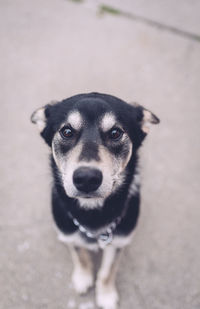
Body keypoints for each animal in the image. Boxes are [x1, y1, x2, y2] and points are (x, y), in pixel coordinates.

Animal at [30, 92, 159, 308]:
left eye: (115, 133)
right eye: (66, 131)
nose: (87, 178)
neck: (92, 214)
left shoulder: (117, 241)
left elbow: (108, 271)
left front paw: (105, 295)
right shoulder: (70, 233)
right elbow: (80, 255)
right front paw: (83, 278)